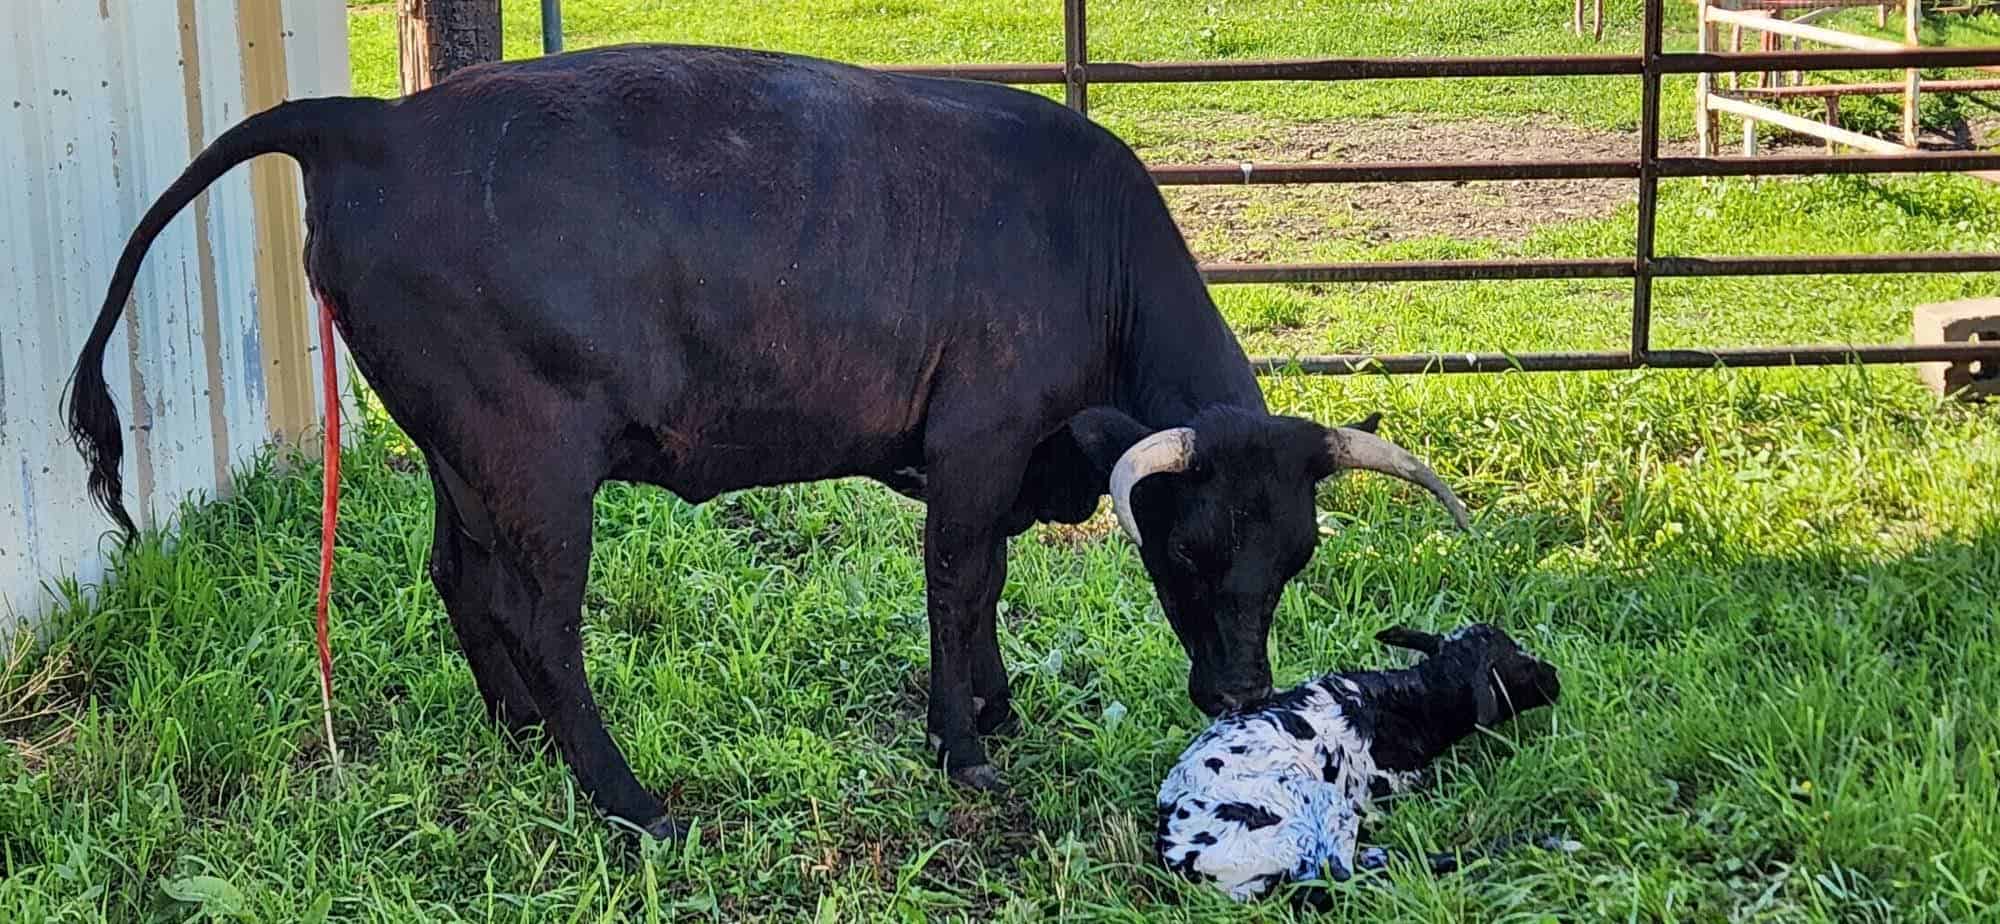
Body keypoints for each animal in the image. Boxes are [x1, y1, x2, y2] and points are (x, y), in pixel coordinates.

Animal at [65, 43, 1471, 839]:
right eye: (1184, 551)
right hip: (533, 461)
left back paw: (520, 741)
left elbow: (986, 590)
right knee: (539, 619)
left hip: (463, 461)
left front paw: (995, 706)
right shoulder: (974, 446)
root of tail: (374, 118)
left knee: (460, 581)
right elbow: (956, 582)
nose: (1236, 694)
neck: (1092, 250)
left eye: (1294, 557)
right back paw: (629, 802)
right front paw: (963, 744)